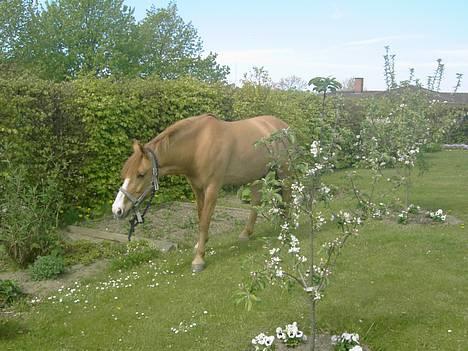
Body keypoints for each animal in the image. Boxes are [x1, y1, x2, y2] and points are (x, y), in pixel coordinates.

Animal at [113, 113, 288, 272]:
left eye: (141, 174)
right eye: (125, 173)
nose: (117, 210)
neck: (198, 145)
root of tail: (281, 124)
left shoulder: (212, 188)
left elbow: (204, 221)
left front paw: (198, 259)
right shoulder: (197, 188)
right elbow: (200, 216)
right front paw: (200, 244)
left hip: (284, 172)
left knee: (287, 196)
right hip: (257, 175)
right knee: (256, 202)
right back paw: (246, 233)